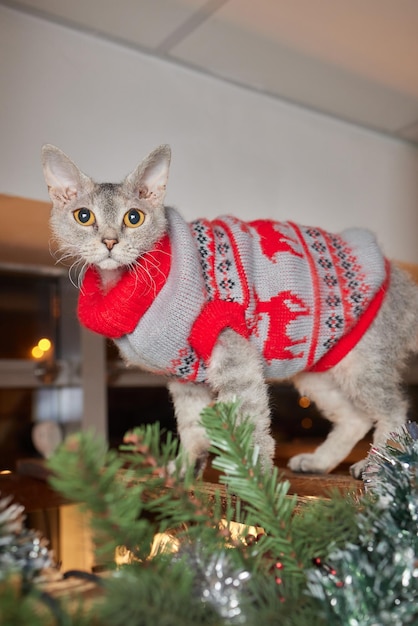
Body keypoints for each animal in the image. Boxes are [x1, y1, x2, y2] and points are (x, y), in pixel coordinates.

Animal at [40, 144, 418, 476]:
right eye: (83, 216)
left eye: (134, 217)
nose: (109, 241)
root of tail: (400, 278)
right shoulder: (183, 376)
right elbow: (191, 427)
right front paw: (184, 469)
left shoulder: (232, 351)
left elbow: (250, 417)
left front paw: (257, 481)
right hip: (318, 369)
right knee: (356, 417)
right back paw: (320, 461)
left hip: (364, 363)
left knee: (394, 410)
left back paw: (378, 466)